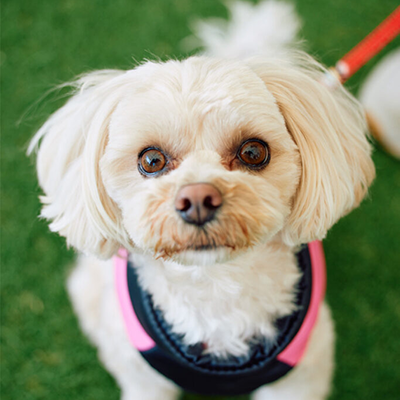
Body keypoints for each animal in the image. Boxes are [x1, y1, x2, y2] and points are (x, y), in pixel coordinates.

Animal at [29, 2, 375, 399]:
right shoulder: (144, 378)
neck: (215, 286)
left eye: (253, 152)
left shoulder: (301, 375)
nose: (198, 198)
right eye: (151, 160)